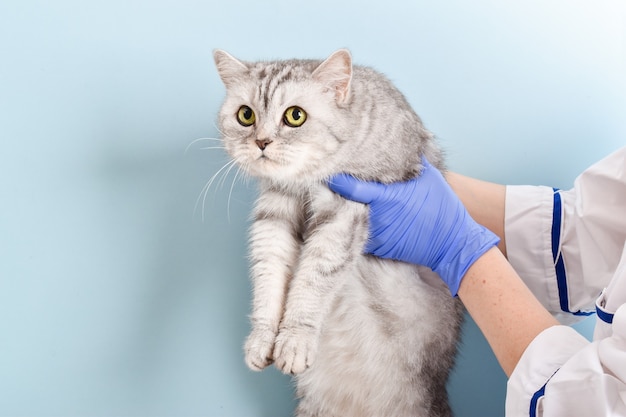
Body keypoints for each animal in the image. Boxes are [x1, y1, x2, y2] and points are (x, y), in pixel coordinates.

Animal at [212, 49, 460, 416]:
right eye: (246, 115)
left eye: (295, 116)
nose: (261, 142)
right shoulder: (274, 215)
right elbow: (268, 280)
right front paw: (262, 338)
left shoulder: (343, 210)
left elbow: (311, 282)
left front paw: (294, 339)